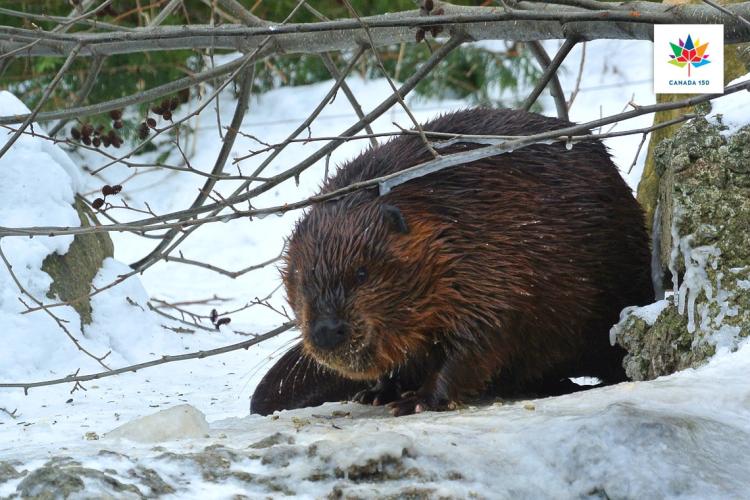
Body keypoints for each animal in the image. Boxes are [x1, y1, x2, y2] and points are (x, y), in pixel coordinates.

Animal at [251, 109, 652, 418]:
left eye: (362, 273)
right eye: (301, 281)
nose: (326, 331)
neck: (439, 216)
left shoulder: (489, 262)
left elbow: (482, 336)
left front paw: (416, 401)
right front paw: (379, 391)